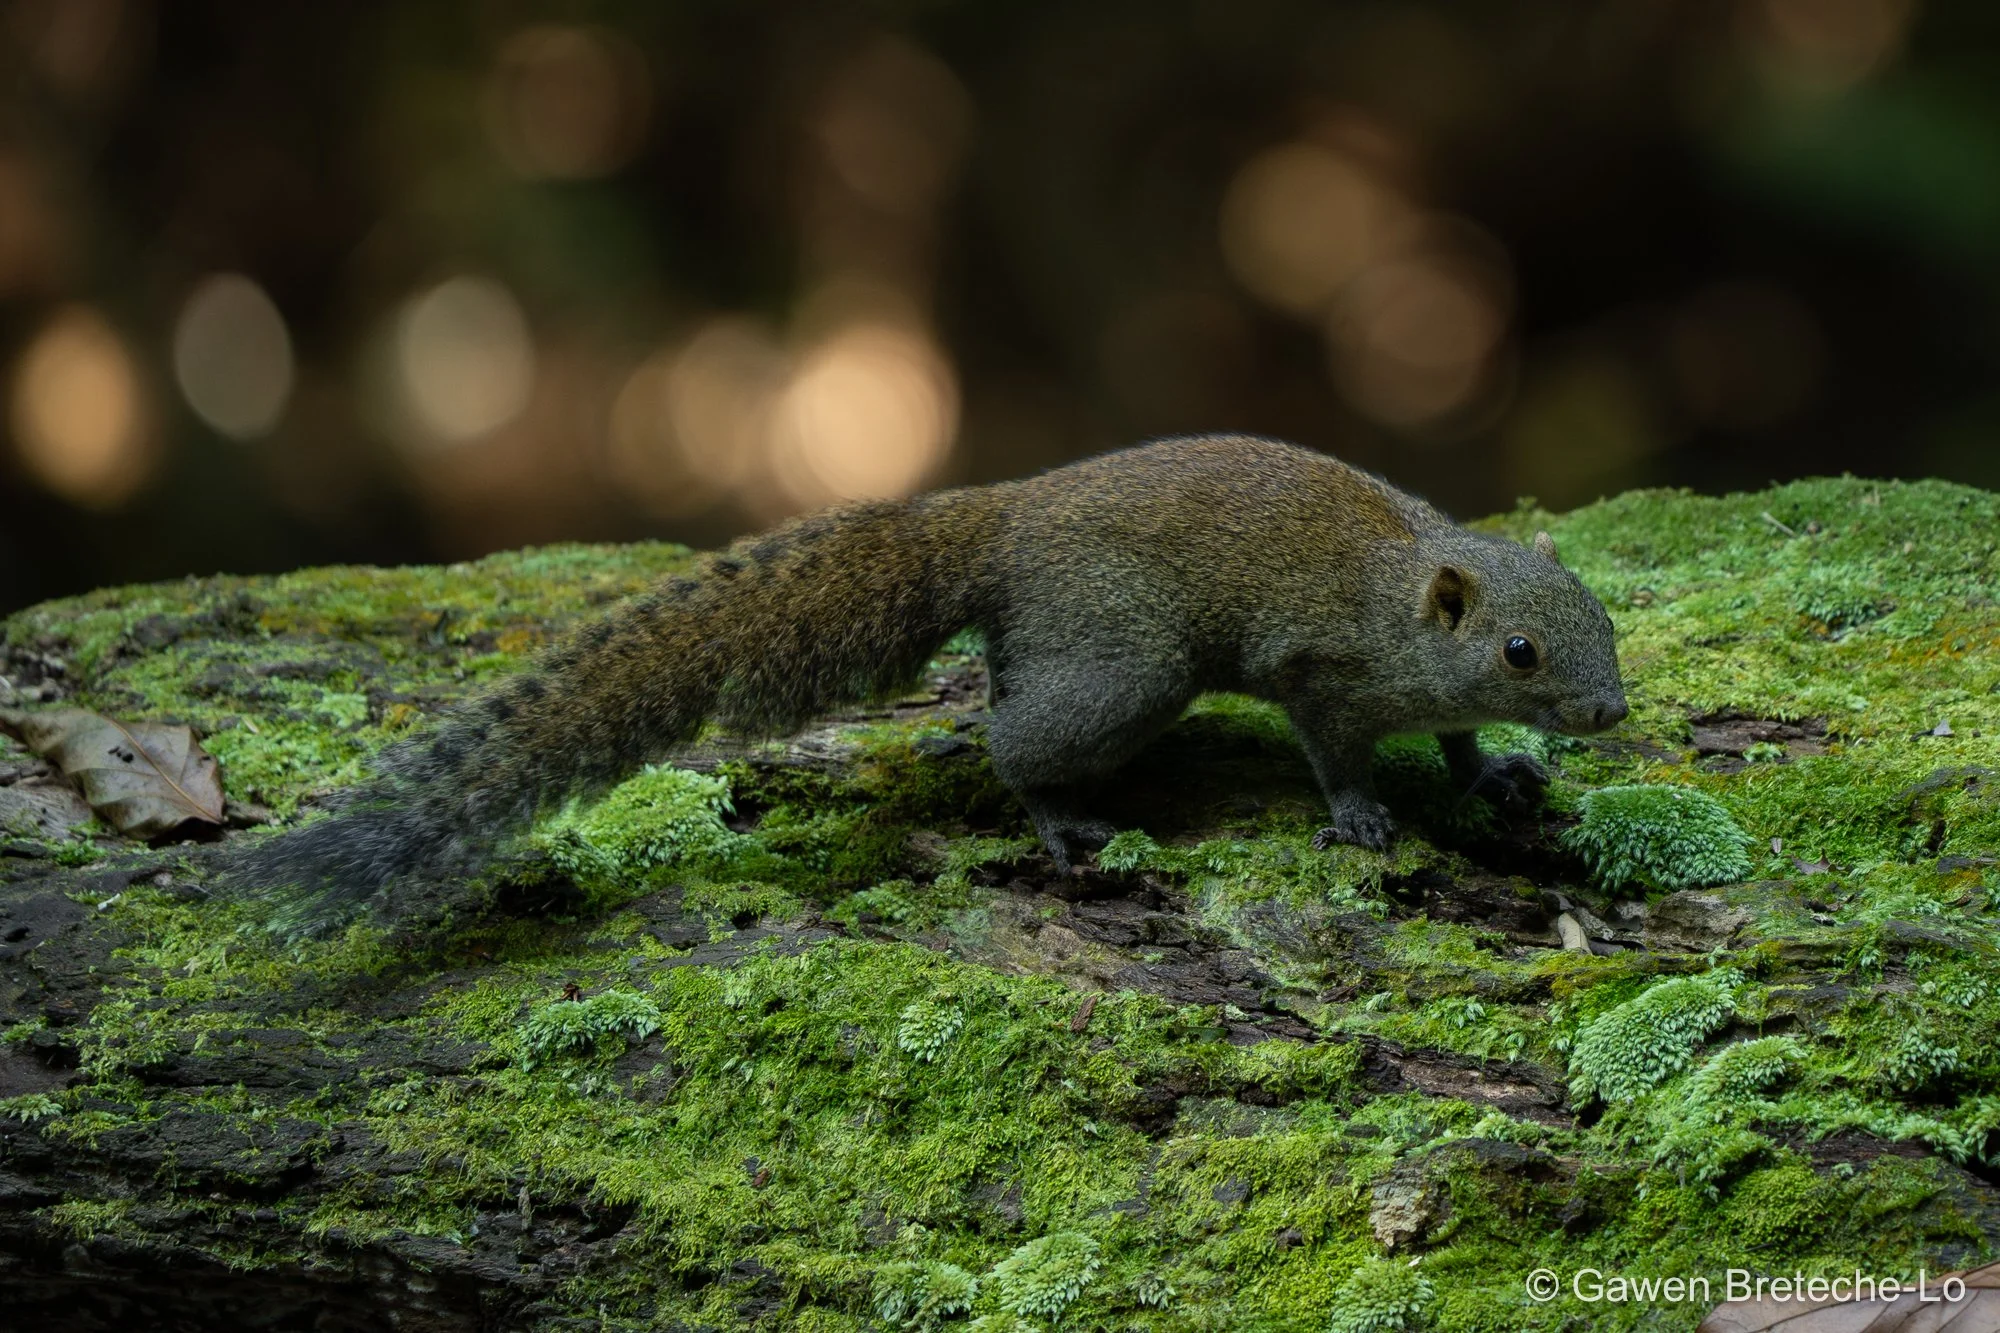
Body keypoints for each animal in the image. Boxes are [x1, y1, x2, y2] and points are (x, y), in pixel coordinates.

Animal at [242, 433, 1626, 919]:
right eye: (1519, 649)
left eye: (1605, 624)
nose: (1610, 710)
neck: (1406, 607)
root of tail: (1002, 524)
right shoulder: (1323, 670)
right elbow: (1335, 749)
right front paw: (1361, 816)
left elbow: (1455, 744)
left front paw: (1492, 774)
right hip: (1127, 665)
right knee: (1020, 740)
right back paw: (1060, 818)